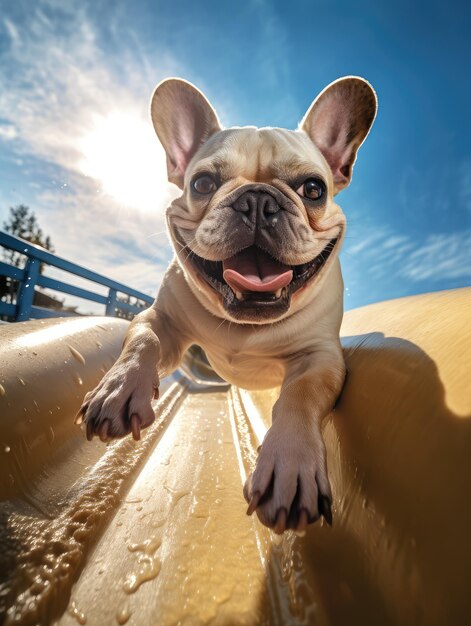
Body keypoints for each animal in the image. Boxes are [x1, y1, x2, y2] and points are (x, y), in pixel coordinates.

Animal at [79, 74, 378, 532]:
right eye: (202, 184)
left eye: (313, 189)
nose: (257, 199)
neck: (246, 324)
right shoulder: (160, 319)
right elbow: (144, 343)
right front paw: (119, 387)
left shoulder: (321, 358)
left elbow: (300, 393)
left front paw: (290, 462)